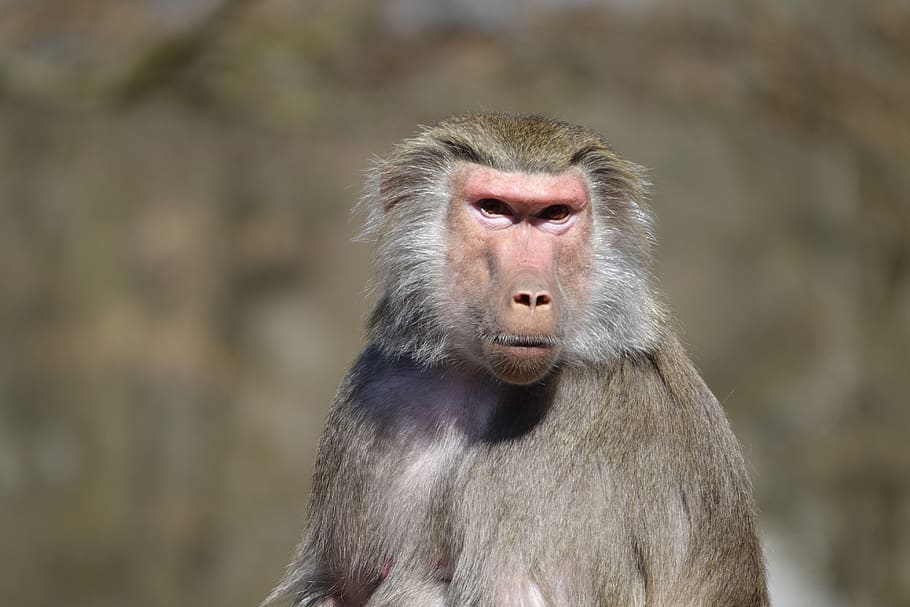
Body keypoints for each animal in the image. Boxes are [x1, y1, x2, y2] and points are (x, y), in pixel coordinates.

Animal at [266, 113, 769, 607]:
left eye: (555, 215)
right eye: (494, 209)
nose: (532, 296)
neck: (482, 377)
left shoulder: (586, 423)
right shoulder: (377, 390)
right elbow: (338, 588)